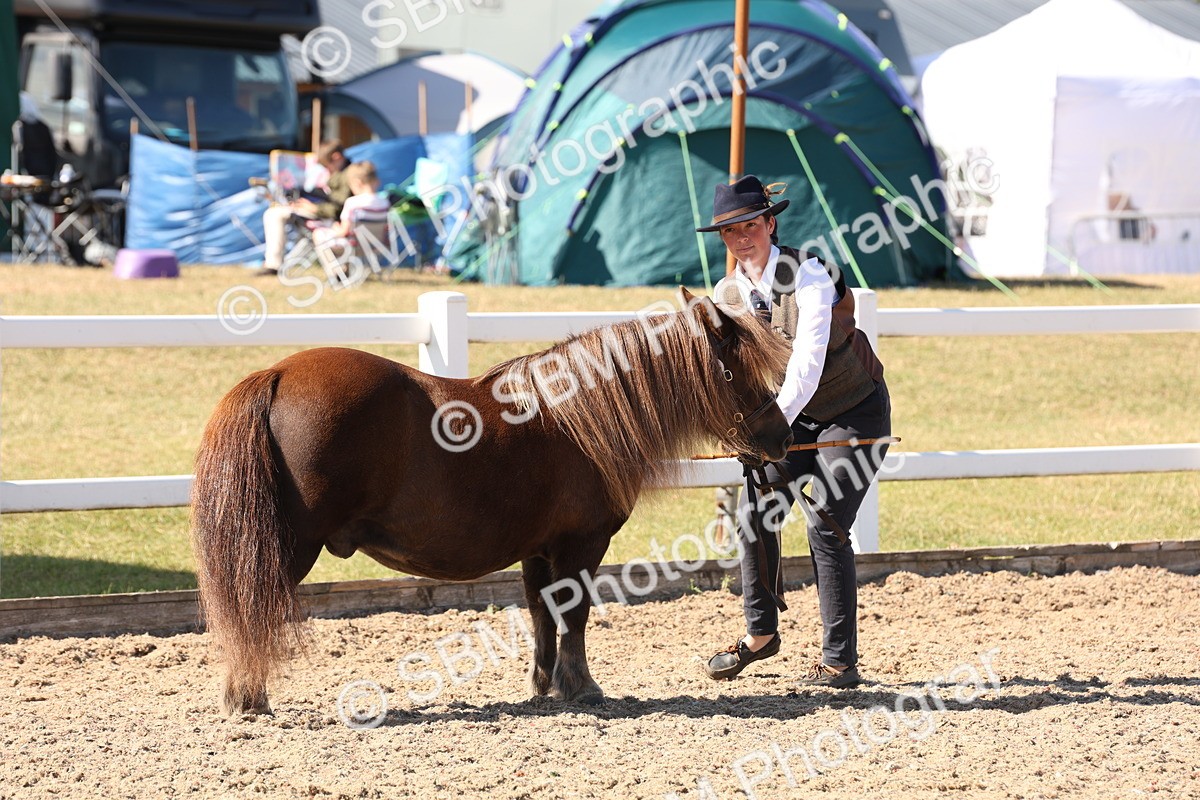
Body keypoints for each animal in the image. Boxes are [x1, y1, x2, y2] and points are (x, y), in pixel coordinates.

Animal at [190, 288, 794, 715]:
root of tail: (277, 373)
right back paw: (248, 697)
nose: (783, 436)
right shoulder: (582, 545)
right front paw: (583, 687)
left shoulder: (539, 551)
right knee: (249, 611)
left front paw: (543, 687)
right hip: (287, 548)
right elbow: (574, 614)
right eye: (738, 369)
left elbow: (543, 615)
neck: (578, 416)